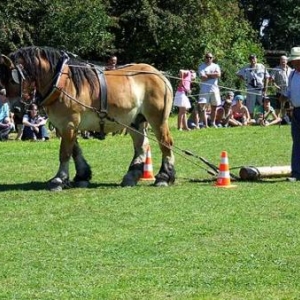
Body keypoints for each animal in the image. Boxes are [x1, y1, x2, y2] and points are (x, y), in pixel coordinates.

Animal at [3, 46, 176, 191]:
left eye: (13, 79)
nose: (15, 109)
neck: (62, 82)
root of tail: (160, 75)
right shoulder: (66, 126)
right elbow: (75, 150)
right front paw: (82, 176)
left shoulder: (69, 124)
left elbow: (64, 152)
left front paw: (59, 180)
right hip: (135, 121)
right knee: (141, 146)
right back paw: (131, 176)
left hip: (158, 119)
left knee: (165, 143)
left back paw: (163, 177)